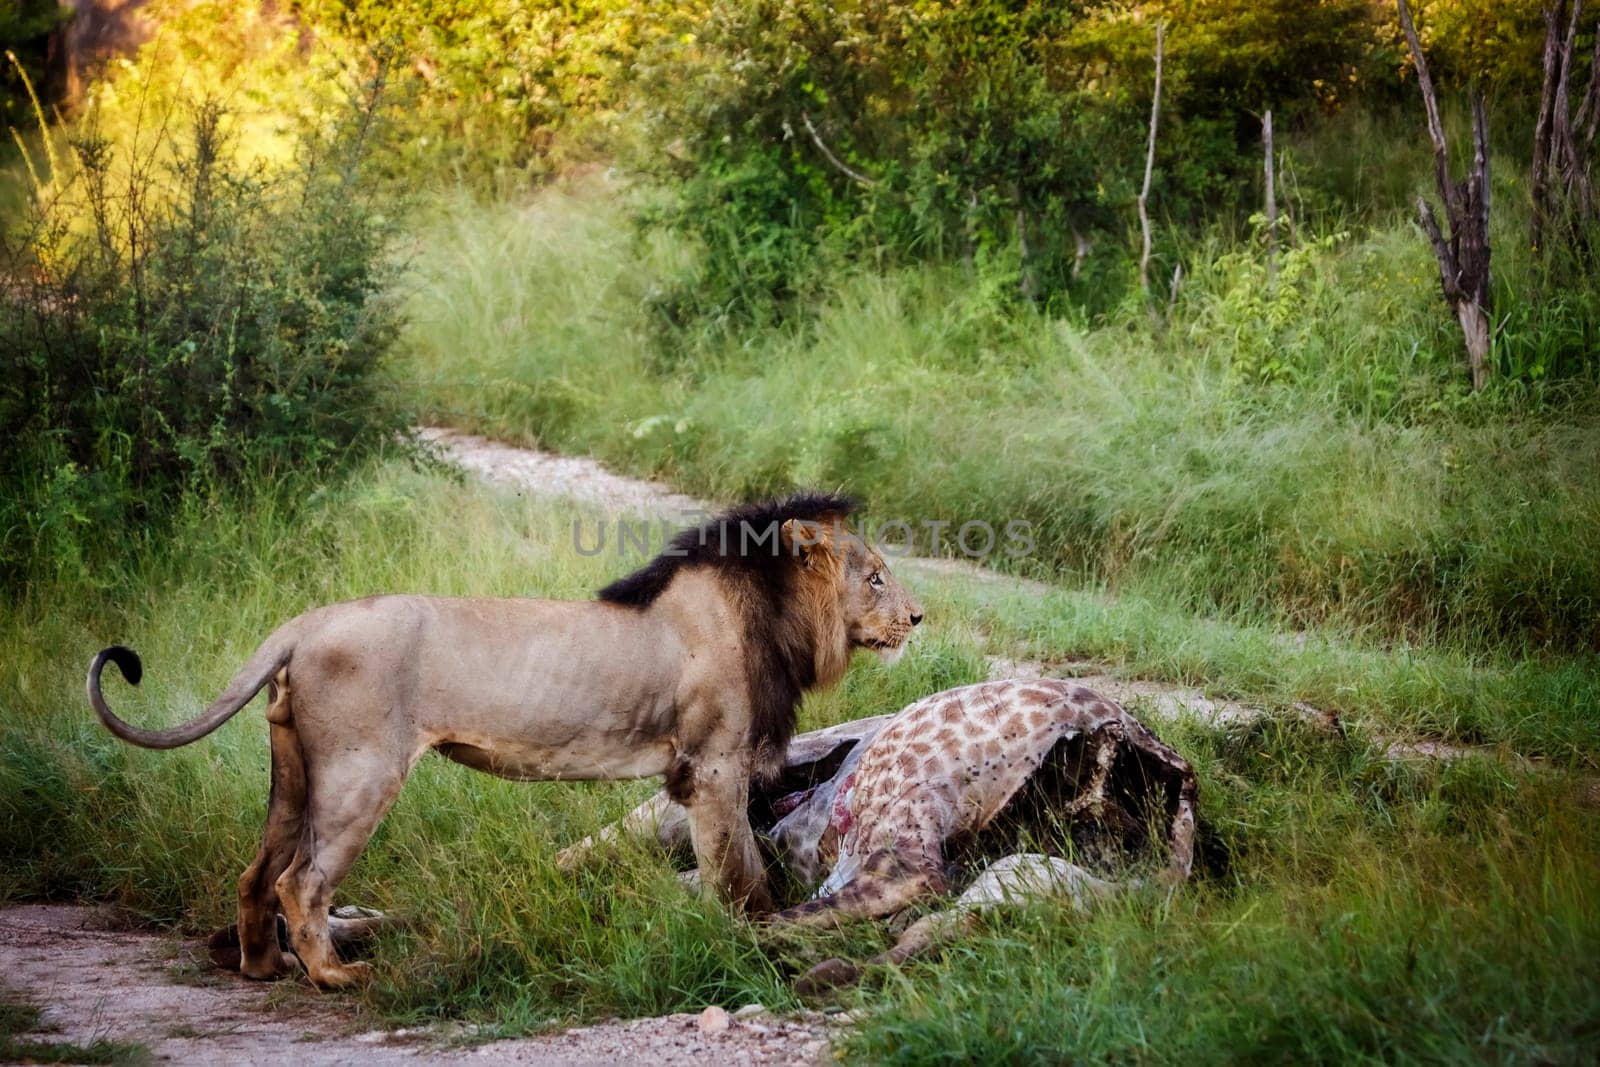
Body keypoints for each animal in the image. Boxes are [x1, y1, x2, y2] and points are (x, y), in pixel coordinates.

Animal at [84, 495, 928, 991]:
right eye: (876, 577)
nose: (920, 618)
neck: (772, 617)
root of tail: (304, 622)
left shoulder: (704, 772)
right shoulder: (714, 766)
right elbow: (738, 872)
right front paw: (746, 940)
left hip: (294, 772)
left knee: (257, 871)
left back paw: (261, 965)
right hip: (361, 772)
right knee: (302, 881)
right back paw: (334, 977)